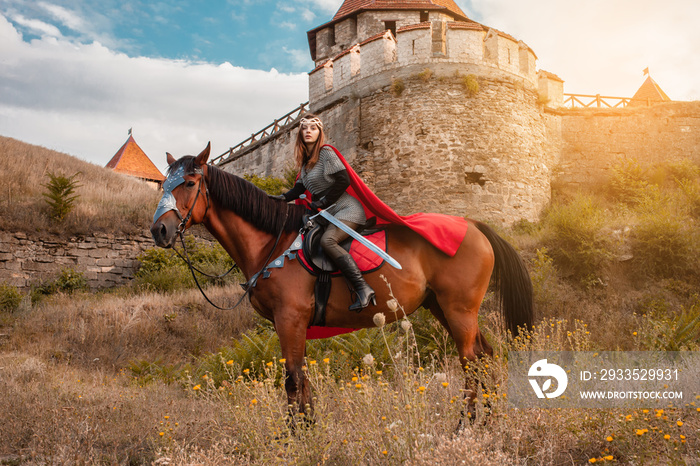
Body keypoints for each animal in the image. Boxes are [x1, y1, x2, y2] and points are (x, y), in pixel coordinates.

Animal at [149, 145, 532, 422]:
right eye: (164, 185)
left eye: (189, 183)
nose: (159, 230)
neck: (273, 242)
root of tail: (474, 225)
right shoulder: (292, 325)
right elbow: (302, 380)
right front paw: (309, 430)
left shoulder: (290, 319)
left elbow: (292, 380)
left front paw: (296, 438)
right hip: (441, 306)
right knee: (485, 355)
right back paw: (487, 420)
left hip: (459, 308)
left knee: (470, 361)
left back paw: (464, 425)